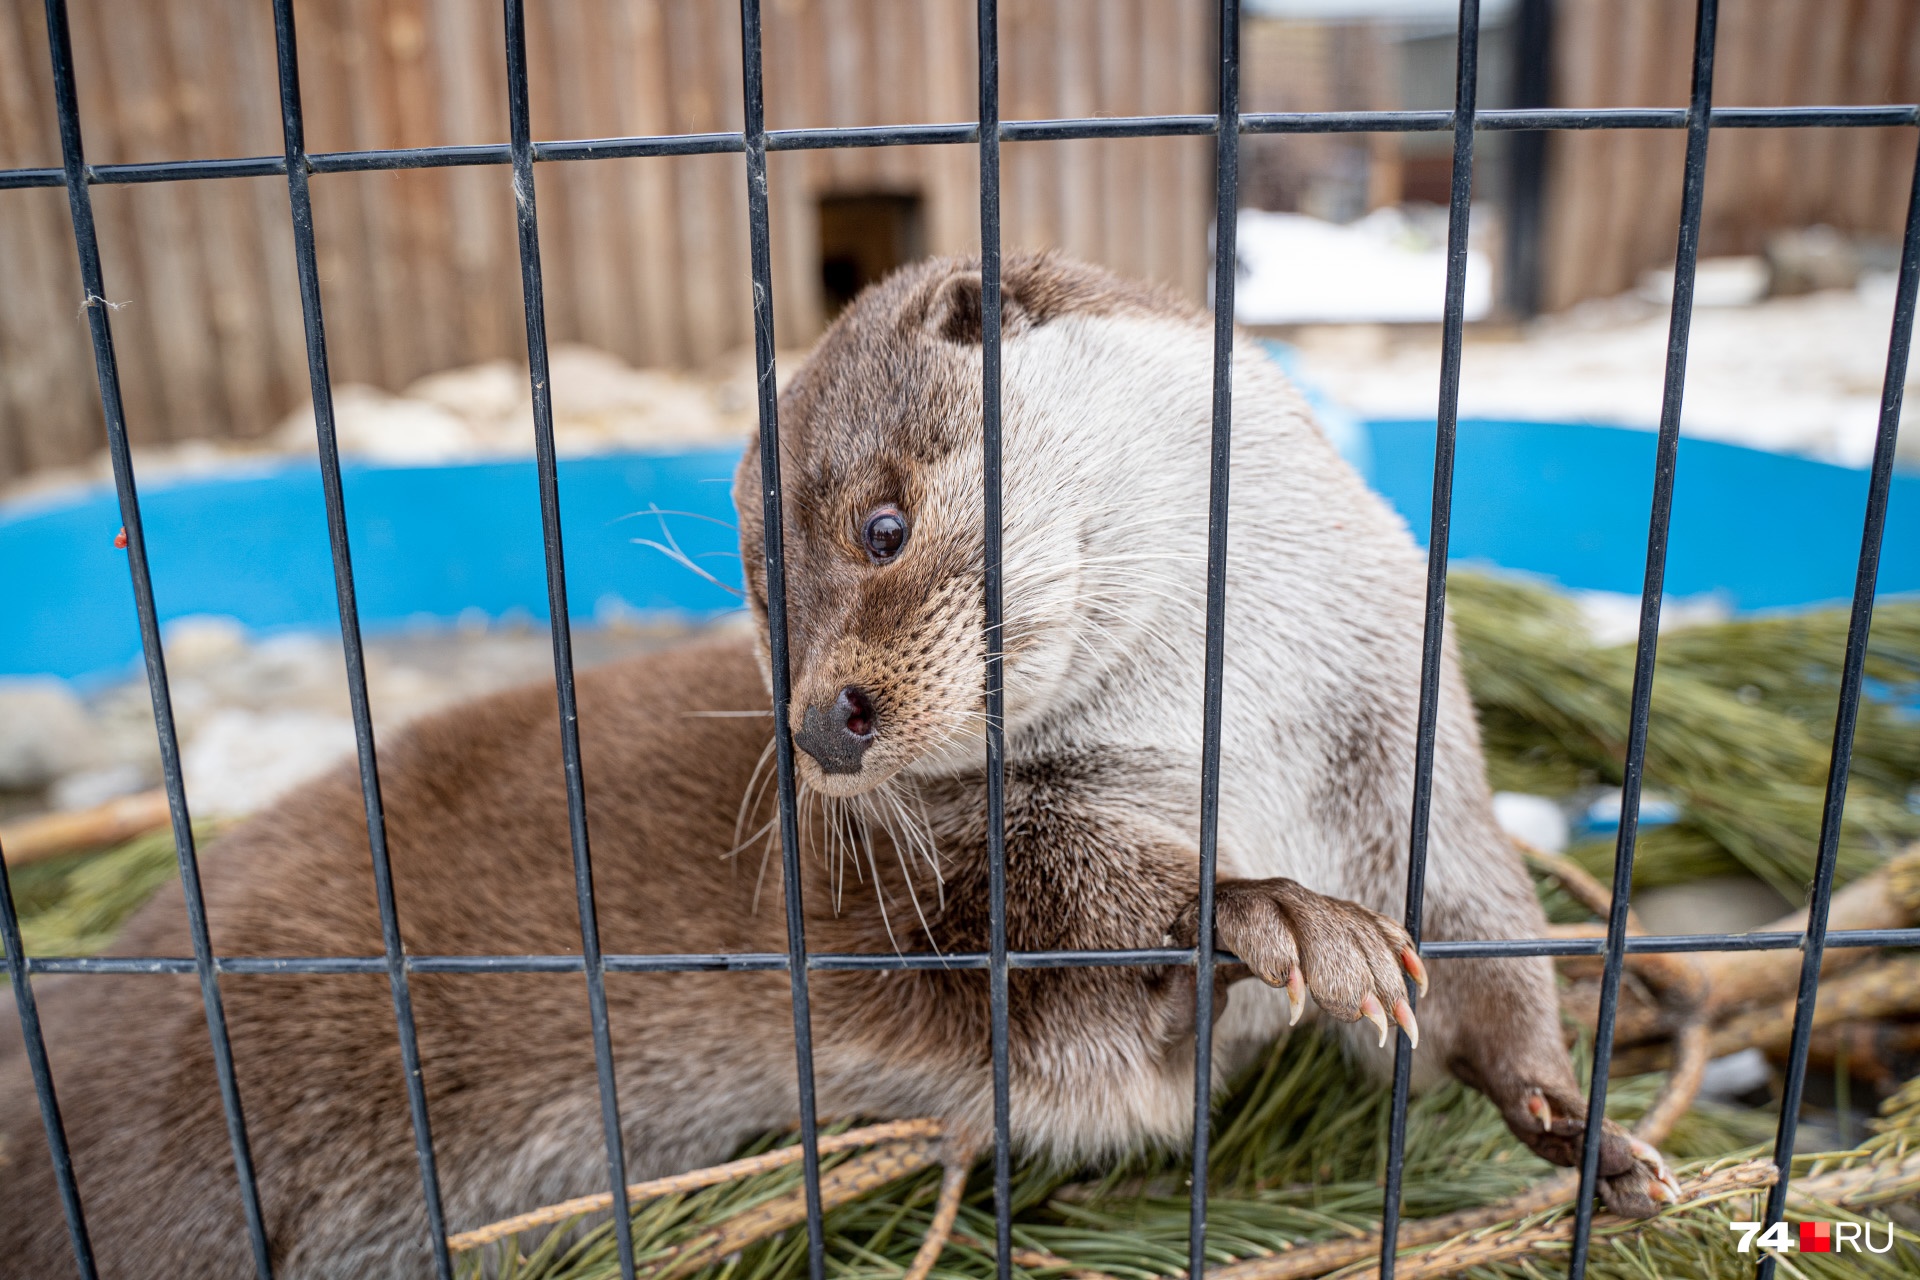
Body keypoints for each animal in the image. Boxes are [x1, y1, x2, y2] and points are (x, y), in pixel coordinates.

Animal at [3, 255, 1666, 1274]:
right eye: (762, 608)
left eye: (880, 525)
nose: (820, 722)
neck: (1236, 724)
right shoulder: (970, 882)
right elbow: (1061, 935)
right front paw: (1267, 910)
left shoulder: (1401, 740)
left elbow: (1482, 938)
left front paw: (1573, 1123)